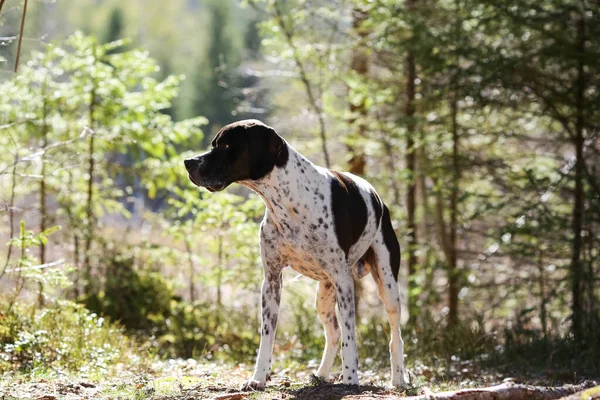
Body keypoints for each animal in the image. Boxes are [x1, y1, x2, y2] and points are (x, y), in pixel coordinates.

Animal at [183, 119, 408, 390]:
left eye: (226, 145)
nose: (188, 162)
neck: (287, 201)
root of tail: (379, 199)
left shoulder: (344, 282)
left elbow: (351, 337)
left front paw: (351, 379)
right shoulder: (271, 280)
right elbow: (267, 335)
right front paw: (258, 378)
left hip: (387, 286)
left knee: (395, 335)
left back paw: (398, 378)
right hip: (323, 296)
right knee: (333, 333)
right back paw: (321, 375)